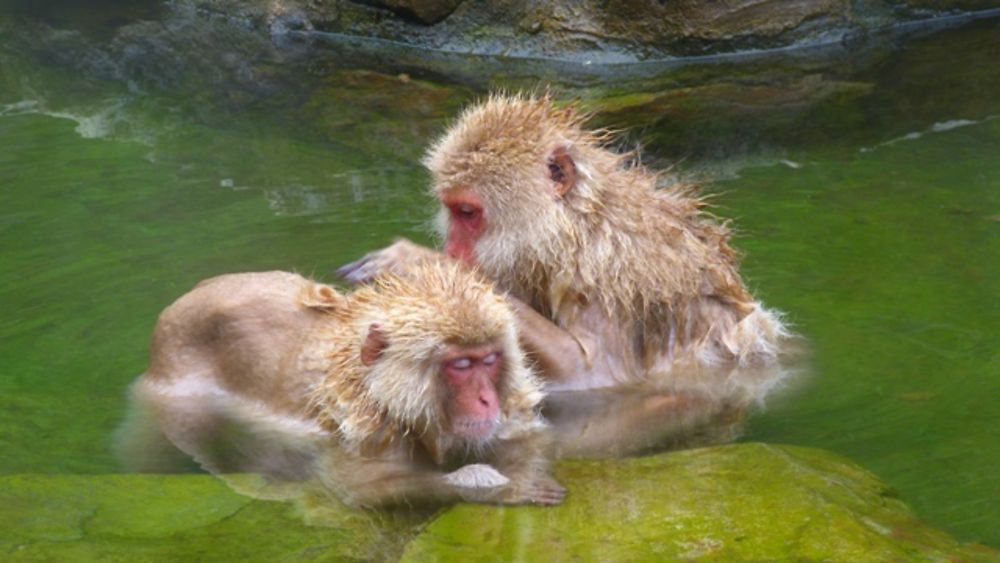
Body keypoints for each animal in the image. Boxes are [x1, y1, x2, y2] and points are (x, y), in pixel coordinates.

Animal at [116, 264, 564, 506]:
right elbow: (361, 489)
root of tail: (193, 292)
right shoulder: (370, 431)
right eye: (461, 365)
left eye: (489, 361)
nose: (487, 399)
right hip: (170, 386)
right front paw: (493, 484)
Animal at [340, 93, 792, 396]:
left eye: (468, 213)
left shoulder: (607, 273)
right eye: (451, 210)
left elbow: (591, 374)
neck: (572, 230)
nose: (453, 251)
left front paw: (418, 263)